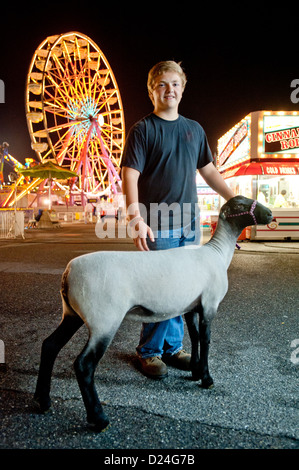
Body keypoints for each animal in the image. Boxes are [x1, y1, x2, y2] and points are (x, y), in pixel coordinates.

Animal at [33, 196, 274, 432]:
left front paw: (195, 371)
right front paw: (206, 378)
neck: (217, 253)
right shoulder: (210, 304)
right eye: (241, 204)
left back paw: (42, 400)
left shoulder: (191, 306)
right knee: (84, 365)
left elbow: (195, 336)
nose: (271, 214)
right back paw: (99, 419)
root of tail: (68, 272)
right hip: (104, 320)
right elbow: (205, 340)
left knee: (50, 345)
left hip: (72, 314)